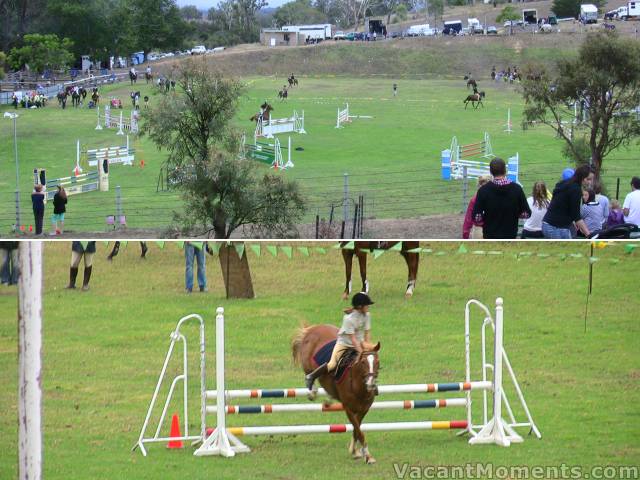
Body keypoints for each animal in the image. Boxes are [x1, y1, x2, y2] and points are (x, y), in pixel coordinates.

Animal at [292, 324, 380, 464]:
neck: (358, 386)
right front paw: (368, 456)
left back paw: (328, 399)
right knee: (311, 372)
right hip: (308, 362)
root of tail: (313, 328)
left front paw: (355, 452)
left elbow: (357, 430)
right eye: (363, 362)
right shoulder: (348, 408)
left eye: (377, 362)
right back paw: (312, 390)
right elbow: (358, 430)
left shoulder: (364, 409)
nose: (371, 384)